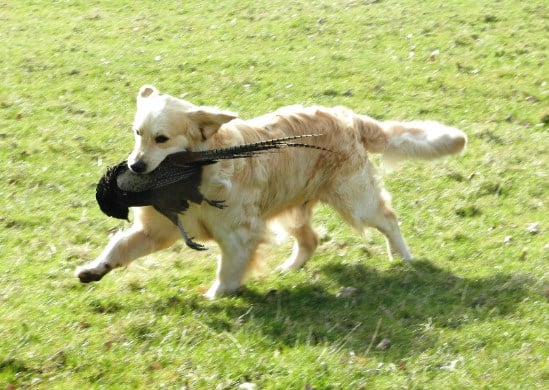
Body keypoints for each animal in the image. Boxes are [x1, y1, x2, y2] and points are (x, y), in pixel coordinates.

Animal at [75, 86, 464, 298]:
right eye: (137, 133)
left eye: (162, 138)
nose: (135, 167)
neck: (198, 171)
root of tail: (348, 117)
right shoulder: (156, 229)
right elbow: (120, 246)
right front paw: (94, 269)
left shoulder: (240, 234)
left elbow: (228, 271)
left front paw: (215, 296)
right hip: (292, 207)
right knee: (310, 240)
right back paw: (289, 268)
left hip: (354, 199)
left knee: (388, 218)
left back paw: (404, 257)